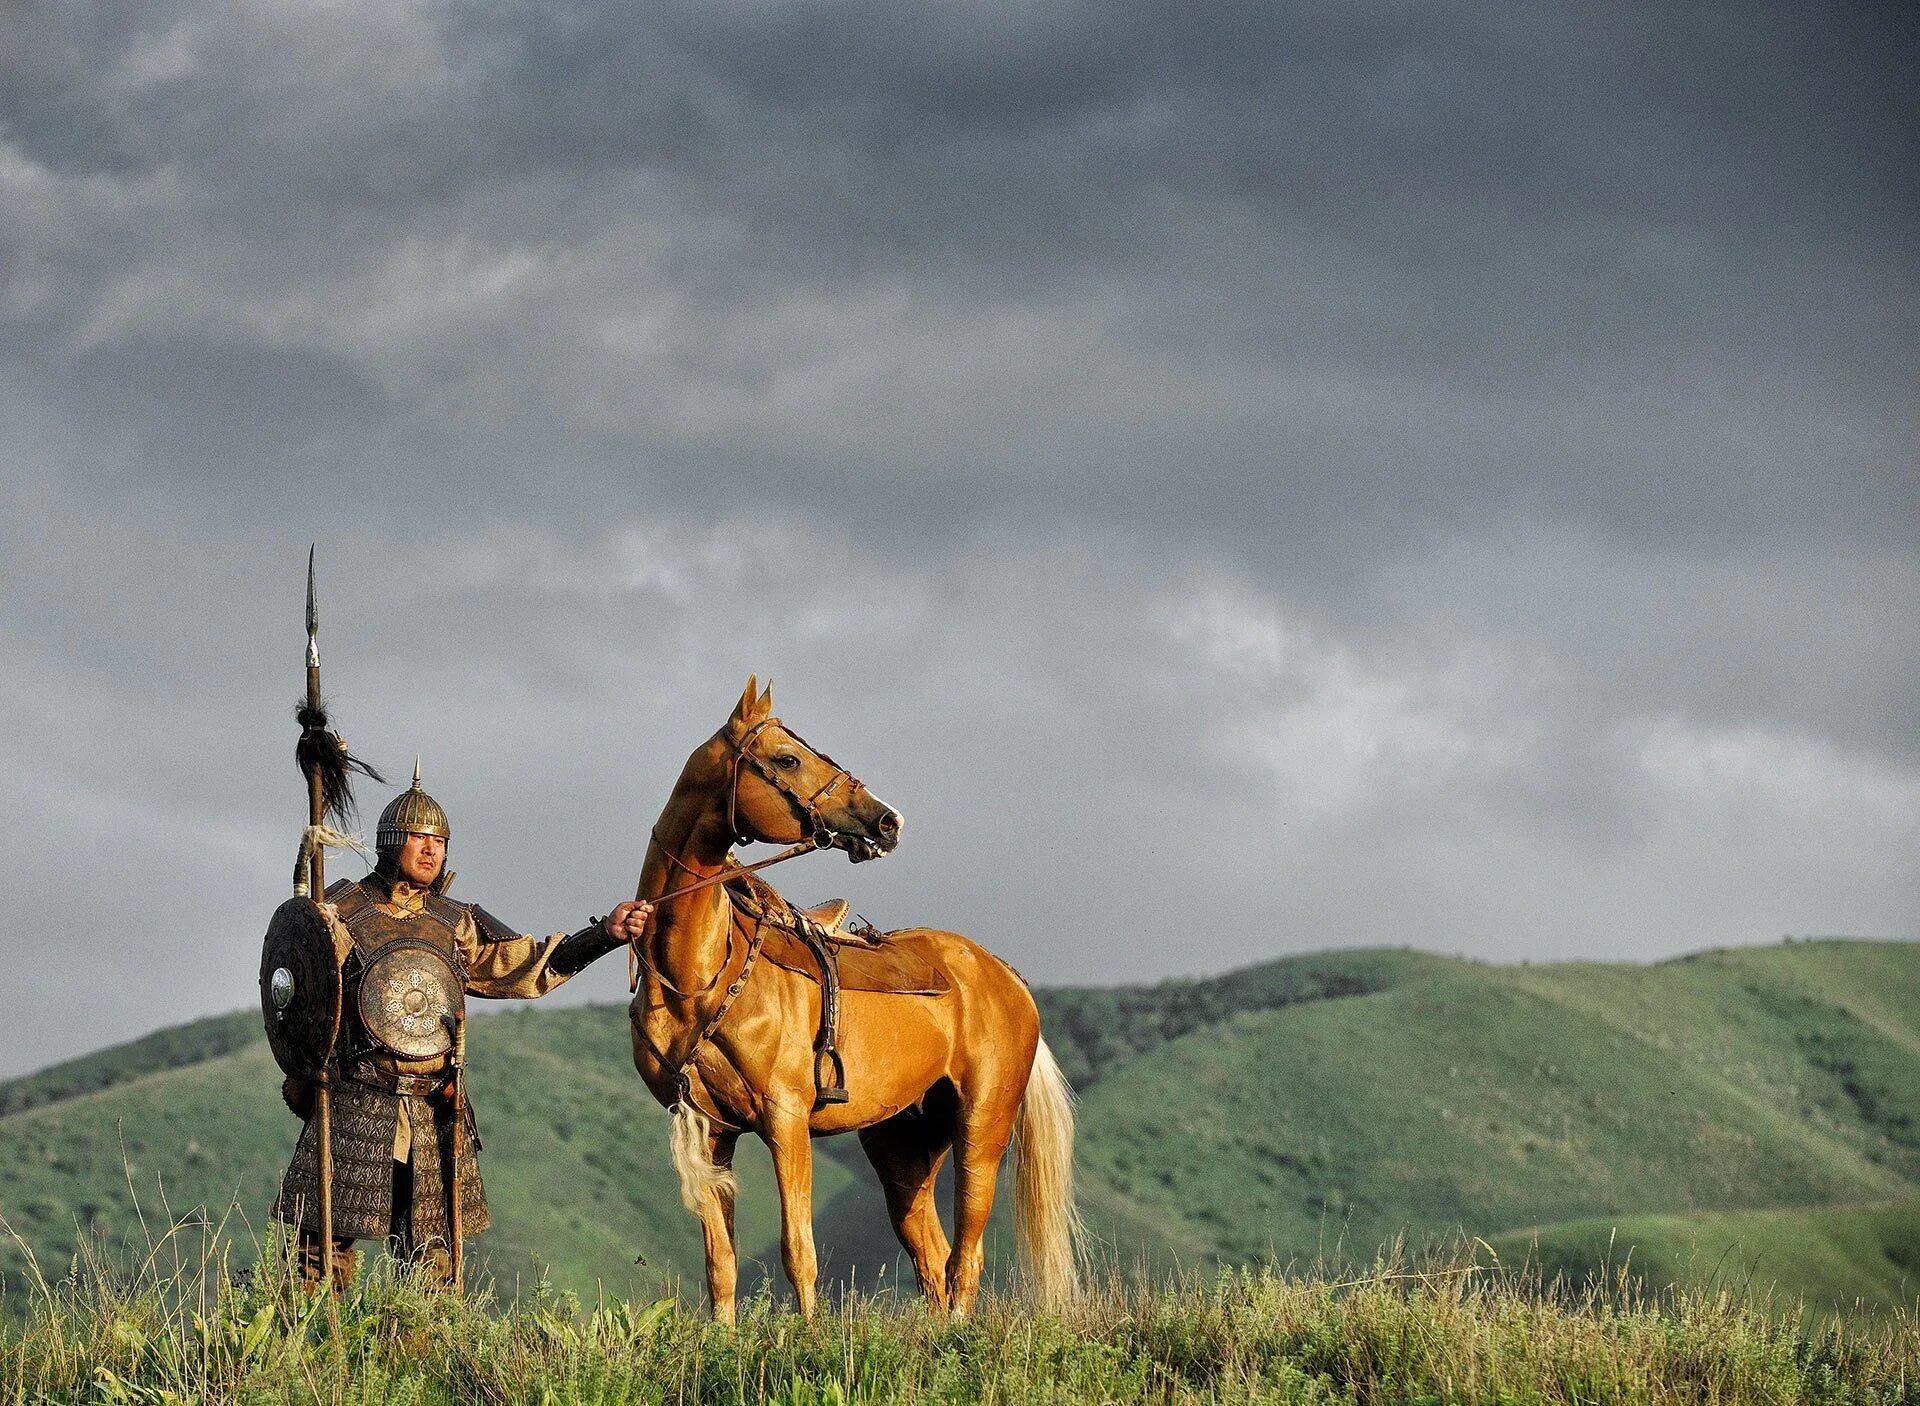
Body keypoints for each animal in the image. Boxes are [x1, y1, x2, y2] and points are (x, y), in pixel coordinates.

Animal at [625, 679, 1082, 1321]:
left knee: (966, 1257)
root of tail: (1005, 975)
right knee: (932, 1258)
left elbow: (798, 1251)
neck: (697, 975)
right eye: (788, 759)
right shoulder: (712, 1131)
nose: (888, 822)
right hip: (902, 1150)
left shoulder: (786, 1120)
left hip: (982, 1131)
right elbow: (721, 1265)